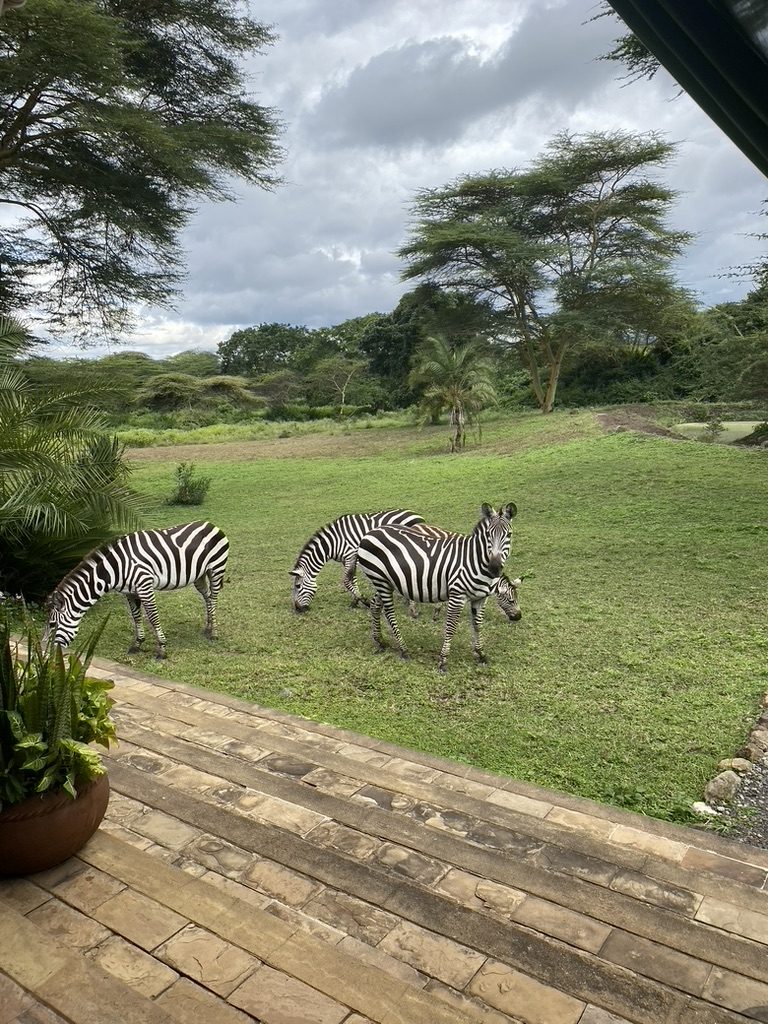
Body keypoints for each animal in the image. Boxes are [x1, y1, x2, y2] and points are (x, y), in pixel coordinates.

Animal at [44, 521, 229, 660]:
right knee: (207, 597)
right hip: (199, 575)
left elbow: (153, 618)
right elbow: (136, 616)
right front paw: (138, 644)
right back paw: (208, 627)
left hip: (216, 568)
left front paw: (162, 649)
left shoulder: (145, 586)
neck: (116, 568)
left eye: (52, 624)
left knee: (213, 597)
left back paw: (214, 633)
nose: (45, 655)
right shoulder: (129, 592)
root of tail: (210, 524)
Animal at [290, 509, 424, 612]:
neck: (333, 543)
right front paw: (355, 601)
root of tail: (417, 515)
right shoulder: (347, 559)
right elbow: (352, 580)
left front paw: (364, 601)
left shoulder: (351, 555)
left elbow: (346, 581)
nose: (297, 609)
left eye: (297, 586)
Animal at [357, 502, 517, 672]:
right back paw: (403, 649)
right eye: (488, 534)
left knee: (375, 606)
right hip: (380, 581)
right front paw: (443, 660)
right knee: (389, 614)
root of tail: (370, 532)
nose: (494, 568)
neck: (474, 560)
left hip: (385, 582)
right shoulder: (457, 595)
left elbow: (478, 625)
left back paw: (380, 641)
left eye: (509, 535)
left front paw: (480, 654)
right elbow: (451, 627)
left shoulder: (480, 599)